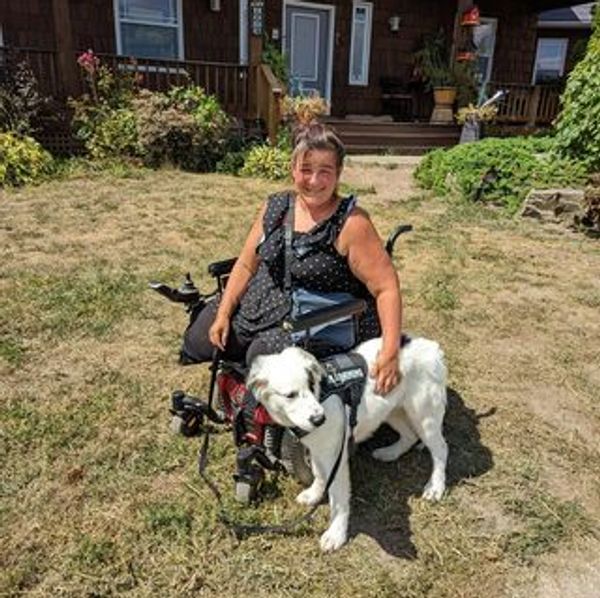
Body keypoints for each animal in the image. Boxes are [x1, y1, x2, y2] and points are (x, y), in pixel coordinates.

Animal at [246, 338, 448, 552]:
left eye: (311, 385)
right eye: (290, 395)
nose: (320, 419)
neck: (322, 395)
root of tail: (432, 347)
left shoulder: (336, 455)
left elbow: (338, 497)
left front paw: (336, 533)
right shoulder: (319, 449)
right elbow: (319, 474)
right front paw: (315, 494)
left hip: (424, 416)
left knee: (441, 449)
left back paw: (436, 486)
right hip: (391, 409)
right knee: (409, 436)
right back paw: (390, 453)